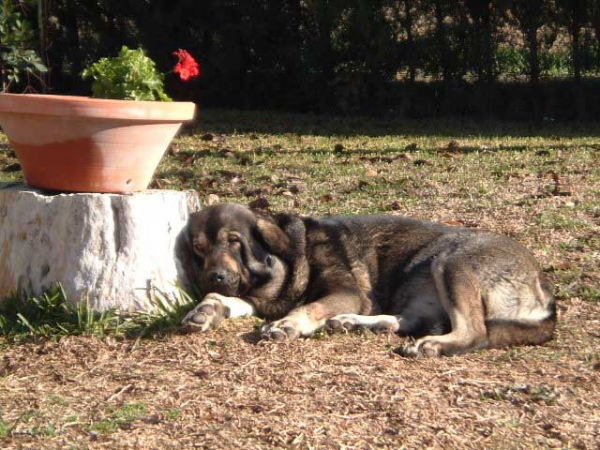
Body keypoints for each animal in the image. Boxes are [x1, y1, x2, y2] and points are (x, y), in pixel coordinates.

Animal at [180, 202, 556, 356]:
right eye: (198, 249)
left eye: (234, 241)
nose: (214, 277)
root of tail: (544, 291)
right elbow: (232, 301)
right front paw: (208, 308)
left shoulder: (346, 292)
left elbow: (307, 307)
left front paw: (288, 324)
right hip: (417, 291)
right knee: (406, 320)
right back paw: (354, 323)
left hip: (451, 263)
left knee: (474, 332)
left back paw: (432, 345)